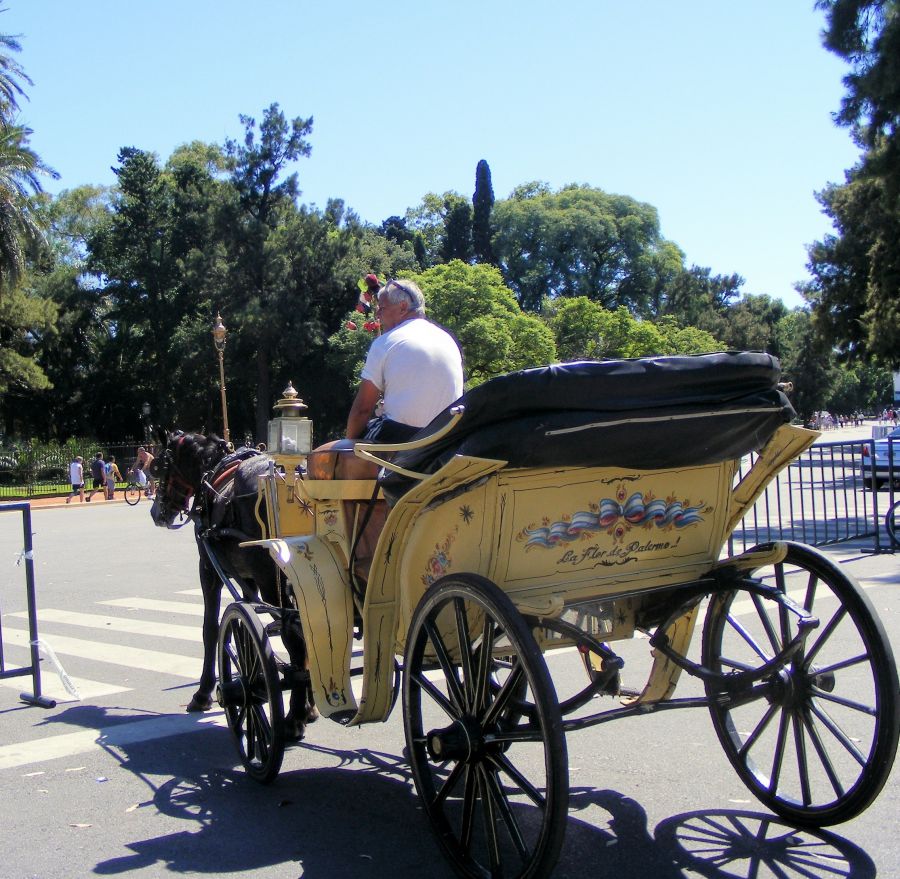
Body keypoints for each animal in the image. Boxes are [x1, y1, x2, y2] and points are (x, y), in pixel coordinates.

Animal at [149, 430, 316, 740]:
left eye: (161, 466)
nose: (157, 512)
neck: (212, 473)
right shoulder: (247, 578)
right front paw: (311, 705)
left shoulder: (208, 570)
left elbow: (210, 629)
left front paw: (203, 693)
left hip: (272, 580)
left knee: (294, 637)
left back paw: (293, 718)